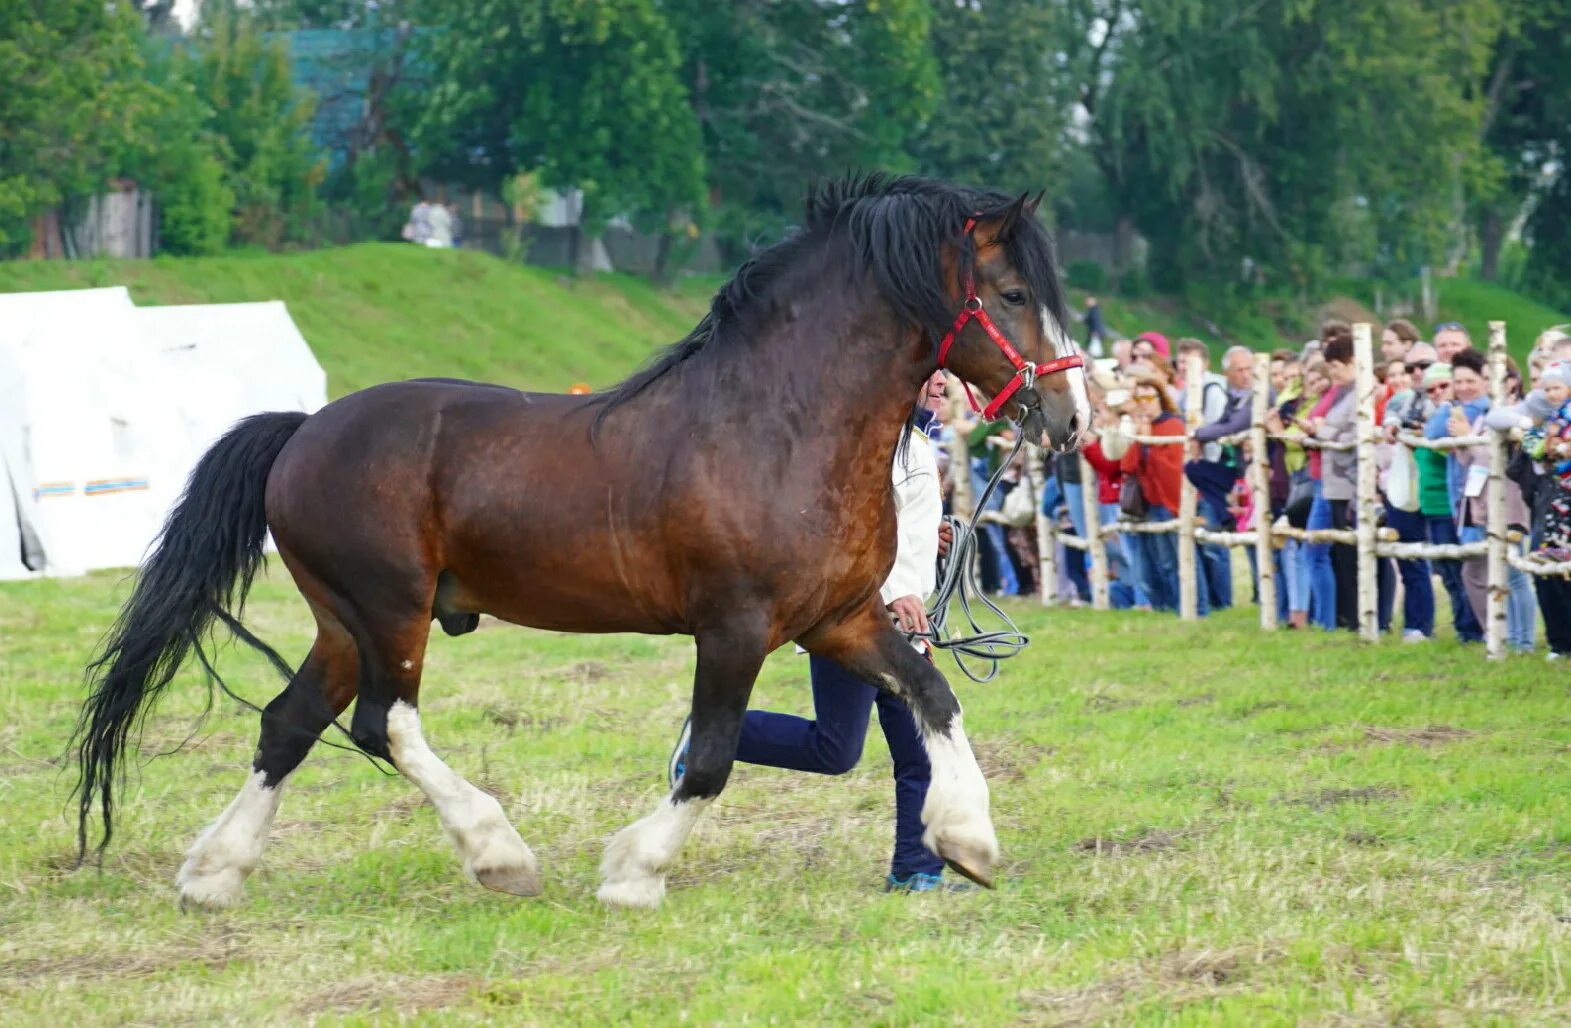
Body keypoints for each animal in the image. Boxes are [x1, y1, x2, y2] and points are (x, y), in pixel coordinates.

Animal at [70, 175, 1080, 911]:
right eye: (1012, 292)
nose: (1067, 418)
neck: (781, 425)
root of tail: (304, 430)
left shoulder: (838, 619)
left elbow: (934, 693)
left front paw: (968, 841)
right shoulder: (735, 627)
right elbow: (709, 758)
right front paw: (633, 872)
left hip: (341, 621)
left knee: (289, 723)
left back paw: (213, 874)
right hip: (390, 608)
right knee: (385, 724)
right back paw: (498, 855)